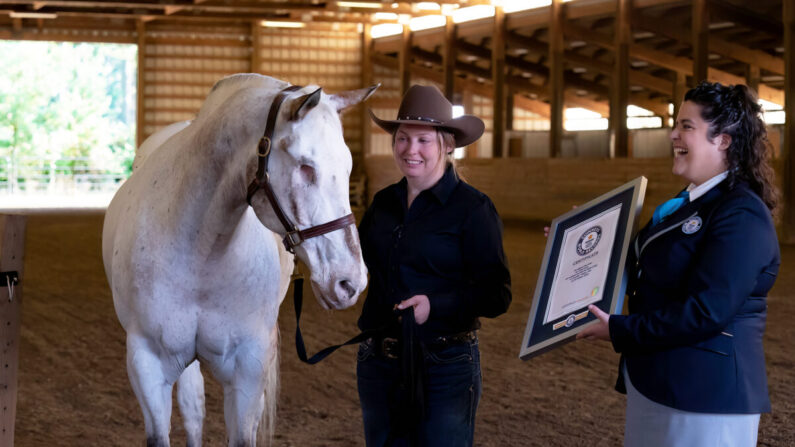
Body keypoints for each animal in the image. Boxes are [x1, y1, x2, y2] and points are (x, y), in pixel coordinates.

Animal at [104, 75, 378, 446]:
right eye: (306, 167)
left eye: (348, 168)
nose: (350, 281)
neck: (201, 251)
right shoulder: (148, 365)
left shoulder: (248, 368)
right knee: (193, 410)